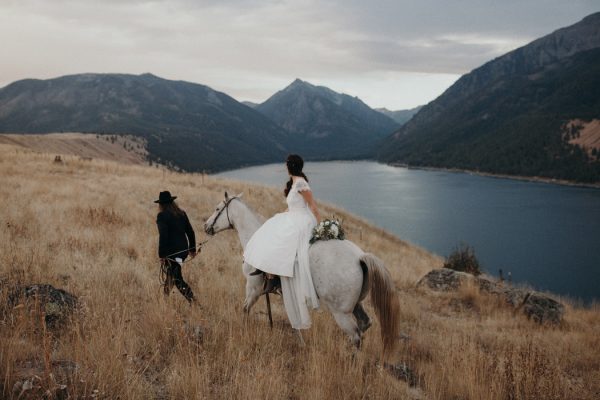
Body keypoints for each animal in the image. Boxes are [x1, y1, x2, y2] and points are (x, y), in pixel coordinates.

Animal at [204, 192, 400, 352]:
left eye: (217, 208)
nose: (206, 226)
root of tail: (360, 257)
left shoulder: (253, 288)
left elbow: (245, 310)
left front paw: (243, 330)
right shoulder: (284, 294)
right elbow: (294, 321)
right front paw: (300, 342)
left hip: (341, 313)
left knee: (356, 336)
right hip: (356, 304)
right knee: (365, 324)